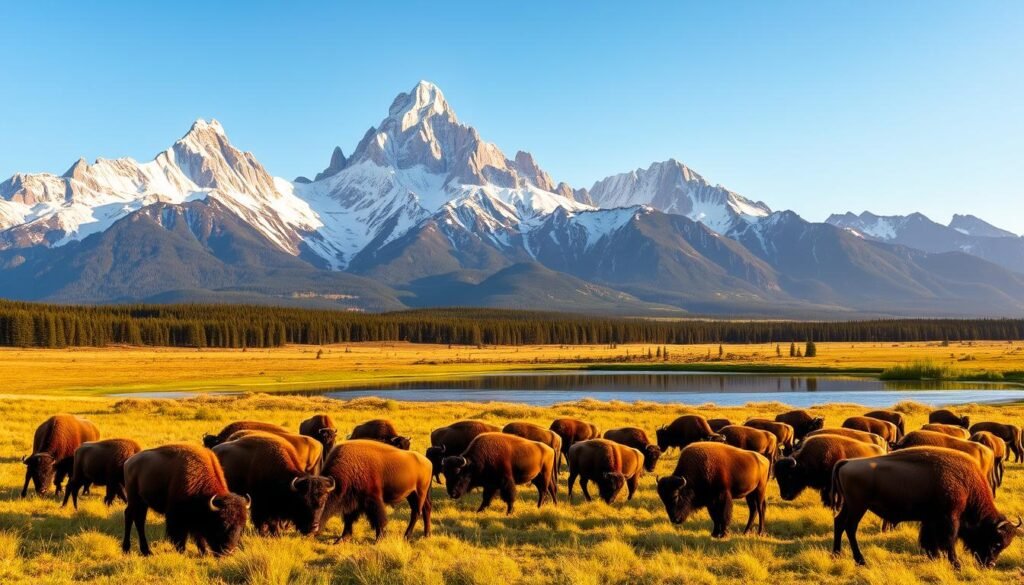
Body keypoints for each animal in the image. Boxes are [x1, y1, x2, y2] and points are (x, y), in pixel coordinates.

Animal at [832, 446, 1021, 568]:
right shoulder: (950, 518)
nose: (990, 564)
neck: (966, 484)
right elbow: (949, 540)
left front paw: (934, 557)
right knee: (850, 528)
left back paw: (836, 554)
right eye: (996, 542)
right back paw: (860, 560)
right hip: (858, 507)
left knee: (839, 523)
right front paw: (956, 564)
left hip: (849, 506)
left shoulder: (930, 519)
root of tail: (846, 463)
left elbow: (929, 539)